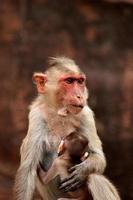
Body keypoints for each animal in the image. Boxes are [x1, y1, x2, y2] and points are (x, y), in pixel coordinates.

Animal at [13, 56, 120, 200]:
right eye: (69, 81)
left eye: (80, 82)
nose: (79, 96)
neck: (61, 112)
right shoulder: (36, 116)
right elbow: (28, 169)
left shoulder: (86, 114)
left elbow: (99, 157)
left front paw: (82, 171)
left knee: (94, 177)